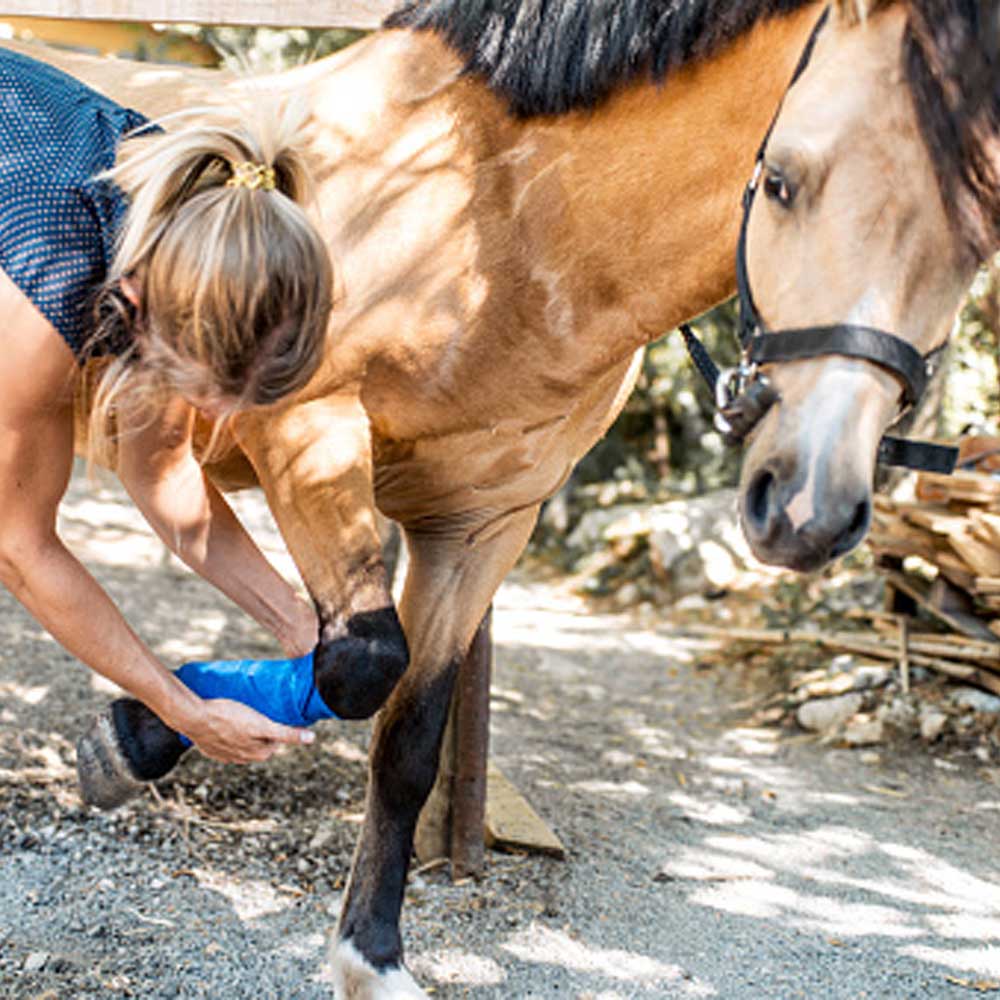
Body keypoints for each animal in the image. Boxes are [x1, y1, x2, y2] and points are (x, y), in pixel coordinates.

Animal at [17, 0, 968, 996]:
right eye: (781, 182)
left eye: (979, 227)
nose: (808, 506)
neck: (491, 216)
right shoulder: (303, 433)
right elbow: (360, 663)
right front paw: (134, 735)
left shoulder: (481, 525)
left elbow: (403, 735)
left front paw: (372, 957)